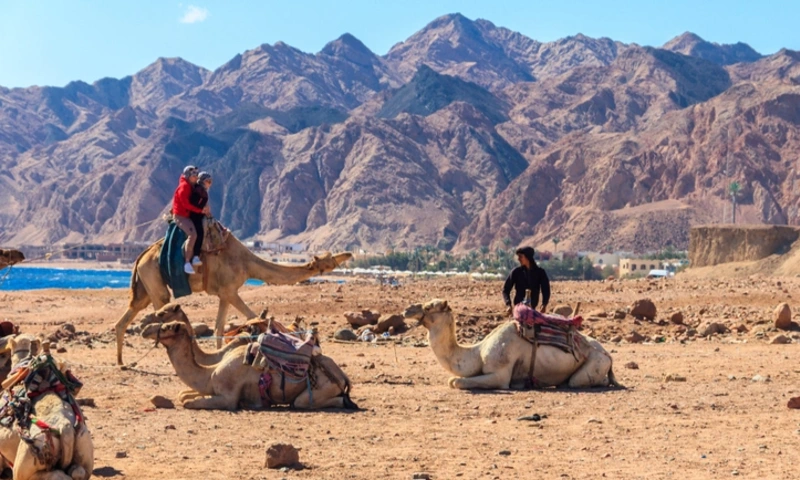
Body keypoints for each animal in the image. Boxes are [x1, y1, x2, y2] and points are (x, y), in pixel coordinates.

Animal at [114, 232, 352, 365]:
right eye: (329, 260)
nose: (348, 254)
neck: (248, 263)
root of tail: (140, 256)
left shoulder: (224, 293)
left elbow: (219, 326)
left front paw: (220, 355)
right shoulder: (230, 290)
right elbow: (253, 316)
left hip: (145, 286)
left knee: (126, 316)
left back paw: (121, 361)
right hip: (154, 278)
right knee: (160, 308)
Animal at [141, 320, 358, 411]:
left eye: (167, 326)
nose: (144, 329)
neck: (210, 373)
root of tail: (343, 377)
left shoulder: (228, 397)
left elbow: (188, 402)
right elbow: (184, 395)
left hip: (318, 390)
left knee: (304, 402)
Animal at [404, 299, 621, 390]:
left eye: (429, 307)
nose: (407, 310)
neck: (477, 352)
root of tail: (608, 354)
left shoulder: (500, 374)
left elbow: (456, 381)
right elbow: (454, 380)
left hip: (595, 362)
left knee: (577, 381)